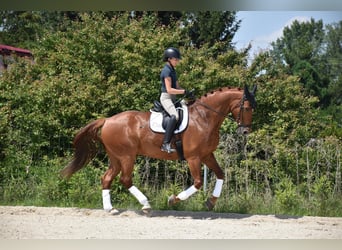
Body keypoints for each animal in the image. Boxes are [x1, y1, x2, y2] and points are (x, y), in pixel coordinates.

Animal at [60, 85, 256, 213]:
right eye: (247, 107)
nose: (245, 131)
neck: (204, 117)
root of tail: (107, 120)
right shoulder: (193, 158)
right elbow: (198, 183)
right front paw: (173, 200)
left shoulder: (207, 155)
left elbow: (221, 174)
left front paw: (210, 203)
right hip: (127, 156)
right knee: (125, 179)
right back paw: (146, 204)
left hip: (116, 157)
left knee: (106, 178)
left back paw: (110, 209)